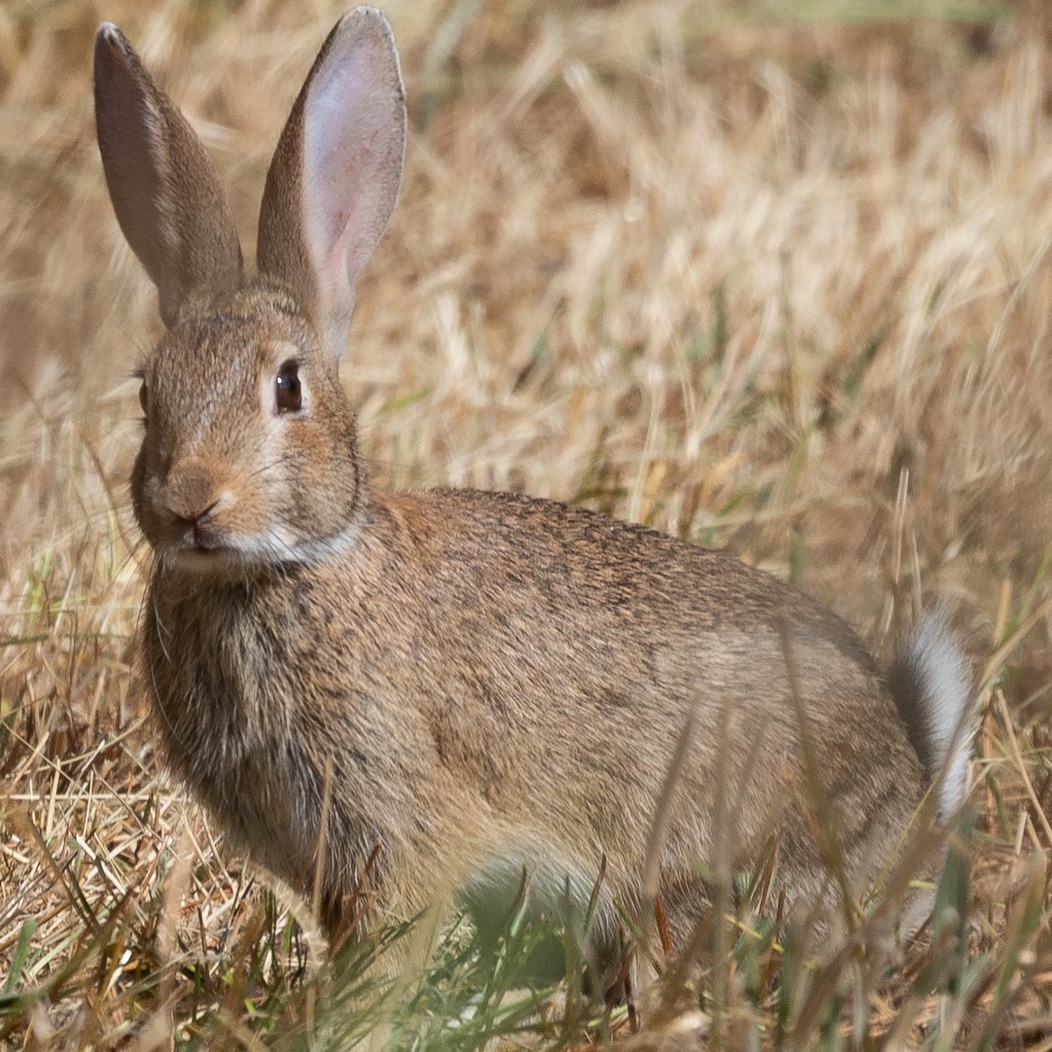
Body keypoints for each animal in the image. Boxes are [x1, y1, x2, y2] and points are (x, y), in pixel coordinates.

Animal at [93, 6, 972, 968]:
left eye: (288, 387)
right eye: (147, 393)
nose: (190, 502)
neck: (283, 572)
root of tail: (913, 798)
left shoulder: (395, 826)